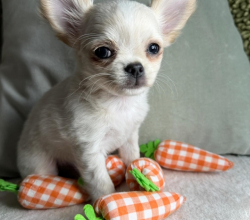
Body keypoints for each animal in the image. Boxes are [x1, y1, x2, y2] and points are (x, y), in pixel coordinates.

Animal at [18, 0, 195, 201]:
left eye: (154, 48)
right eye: (103, 52)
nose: (135, 67)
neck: (119, 104)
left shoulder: (130, 137)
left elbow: (132, 157)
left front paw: (136, 176)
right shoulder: (89, 151)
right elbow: (101, 182)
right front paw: (105, 200)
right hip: (40, 163)